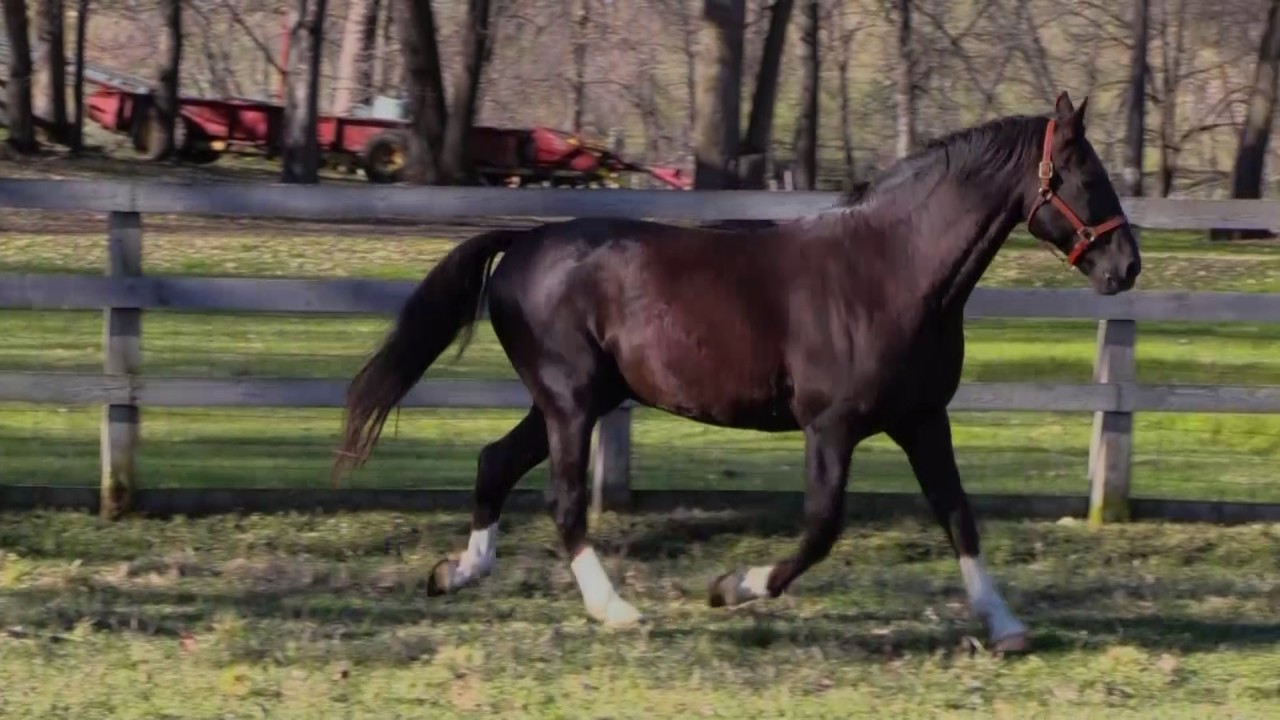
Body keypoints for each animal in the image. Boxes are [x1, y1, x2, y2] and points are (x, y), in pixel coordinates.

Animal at [334, 92, 1140, 653]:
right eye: (1082, 173)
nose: (1126, 265)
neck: (892, 270)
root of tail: (522, 244)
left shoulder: (921, 420)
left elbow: (959, 515)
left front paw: (1006, 626)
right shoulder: (831, 428)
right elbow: (822, 528)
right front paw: (731, 588)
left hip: (566, 402)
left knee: (493, 463)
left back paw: (456, 572)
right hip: (569, 403)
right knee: (562, 502)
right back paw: (616, 609)